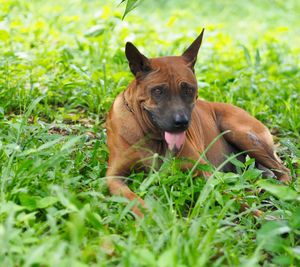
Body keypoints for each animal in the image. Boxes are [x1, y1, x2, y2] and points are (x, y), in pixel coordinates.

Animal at [105, 28, 290, 218]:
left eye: (188, 89)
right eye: (158, 91)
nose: (181, 122)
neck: (152, 136)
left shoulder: (204, 173)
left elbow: (232, 198)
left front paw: (262, 217)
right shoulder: (114, 177)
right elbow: (133, 198)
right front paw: (150, 217)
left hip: (242, 134)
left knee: (284, 170)